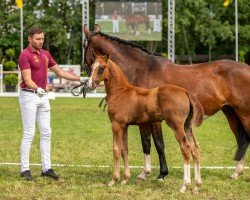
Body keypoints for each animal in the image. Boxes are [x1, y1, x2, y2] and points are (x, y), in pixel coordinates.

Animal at [84, 24, 250, 180]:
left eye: (85, 43)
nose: (89, 80)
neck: (143, 69)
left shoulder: (154, 121)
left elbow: (159, 144)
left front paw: (161, 174)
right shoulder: (143, 120)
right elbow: (146, 143)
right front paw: (145, 173)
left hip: (244, 114)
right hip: (231, 114)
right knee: (242, 138)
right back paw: (236, 173)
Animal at [88, 55, 203, 194]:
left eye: (101, 68)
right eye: (91, 67)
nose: (89, 85)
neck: (120, 92)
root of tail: (185, 92)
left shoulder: (116, 125)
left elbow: (116, 150)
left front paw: (113, 180)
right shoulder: (125, 126)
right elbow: (124, 150)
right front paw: (125, 179)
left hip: (176, 126)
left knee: (185, 147)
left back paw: (184, 185)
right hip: (187, 126)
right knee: (195, 149)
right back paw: (196, 186)